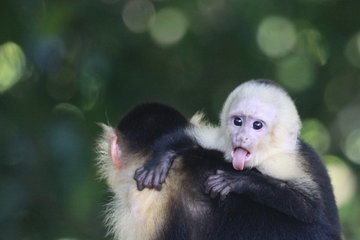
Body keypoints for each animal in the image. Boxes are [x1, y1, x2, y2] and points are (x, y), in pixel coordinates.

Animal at [97, 79, 340, 239]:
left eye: (257, 125)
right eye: (237, 121)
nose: (241, 136)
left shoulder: (137, 209)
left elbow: (307, 205)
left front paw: (239, 182)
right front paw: (161, 158)